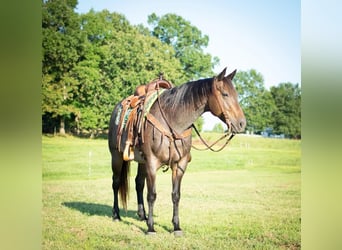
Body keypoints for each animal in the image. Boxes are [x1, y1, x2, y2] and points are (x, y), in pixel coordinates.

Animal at [108, 67, 244, 235]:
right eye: (225, 94)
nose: (242, 123)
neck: (173, 121)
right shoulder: (152, 162)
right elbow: (152, 195)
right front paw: (151, 228)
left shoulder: (180, 164)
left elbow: (176, 195)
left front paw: (176, 227)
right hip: (116, 156)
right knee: (116, 183)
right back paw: (116, 215)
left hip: (141, 161)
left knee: (139, 183)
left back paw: (143, 215)